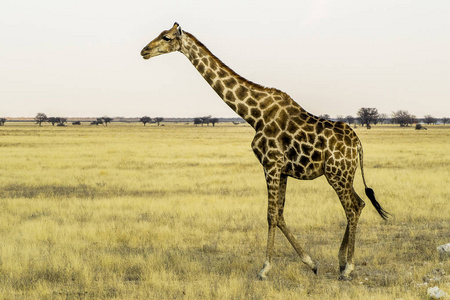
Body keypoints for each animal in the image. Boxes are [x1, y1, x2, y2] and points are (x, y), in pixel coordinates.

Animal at [139, 22, 388, 280]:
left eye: (166, 38)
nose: (144, 51)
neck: (254, 115)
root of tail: (357, 144)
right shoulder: (283, 169)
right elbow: (280, 214)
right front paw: (311, 263)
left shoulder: (270, 164)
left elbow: (270, 215)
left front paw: (265, 268)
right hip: (343, 174)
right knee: (359, 203)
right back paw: (340, 262)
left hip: (337, 173)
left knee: (352, 207)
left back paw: (348, 267)